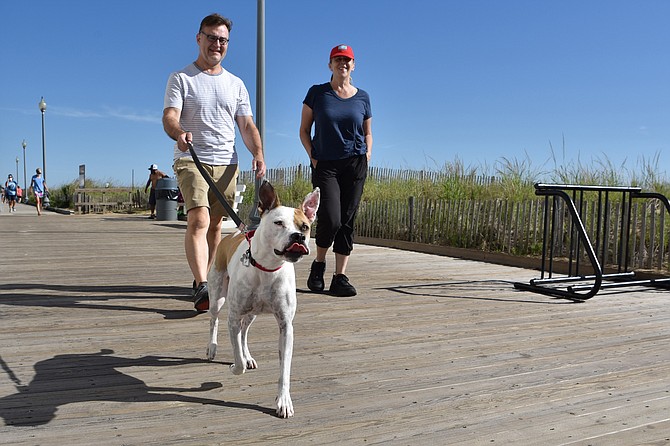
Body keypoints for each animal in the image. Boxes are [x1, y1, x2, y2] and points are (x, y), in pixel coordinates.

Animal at [207, 180, 320, 418]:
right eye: (278, 223)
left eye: (305, 227)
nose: (298, 237)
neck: (267, 268)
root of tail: (234, 234)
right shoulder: (233, 317)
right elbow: (237, 361)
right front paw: (235, 366)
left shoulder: (286, 326)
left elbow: (284, 369)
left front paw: (284, 401)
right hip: (217, 296)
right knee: (214, 320)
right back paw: (212, 348)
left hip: (252, 313)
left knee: (244, 332)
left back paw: (247, 355)